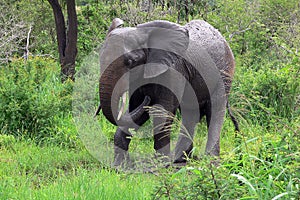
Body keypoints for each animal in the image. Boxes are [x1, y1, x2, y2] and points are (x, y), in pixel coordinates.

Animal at [95, 18, 240, 166]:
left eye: (131, 62)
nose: (147, 98)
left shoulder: (173, 71)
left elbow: (163, 111)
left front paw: (161, 164)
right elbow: (135, 110)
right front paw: (119, 165)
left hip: (223, 74)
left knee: (215, 110)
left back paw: (210, 160)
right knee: (190, 113)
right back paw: (181, 159)